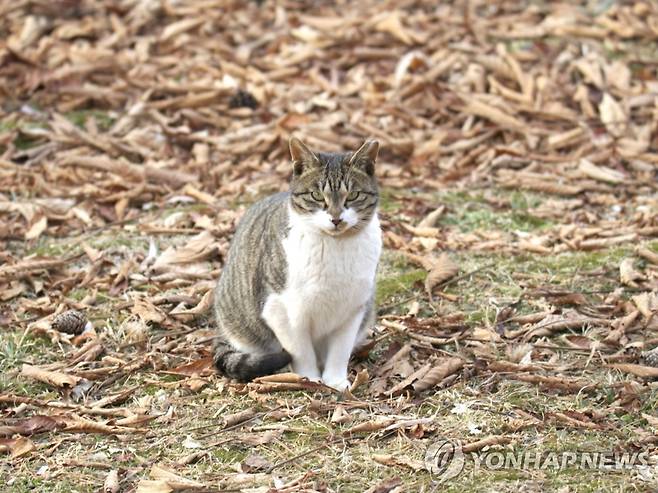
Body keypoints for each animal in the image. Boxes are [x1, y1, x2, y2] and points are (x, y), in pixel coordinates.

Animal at [213, 136, 382, 390]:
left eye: (352, 196)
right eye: (317, 196)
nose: (336, 218)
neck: (336, 246)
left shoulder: (354, 307)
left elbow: (340, 350)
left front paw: (335, 381)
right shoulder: (280, 309)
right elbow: (300, 351)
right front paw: (309, 378)